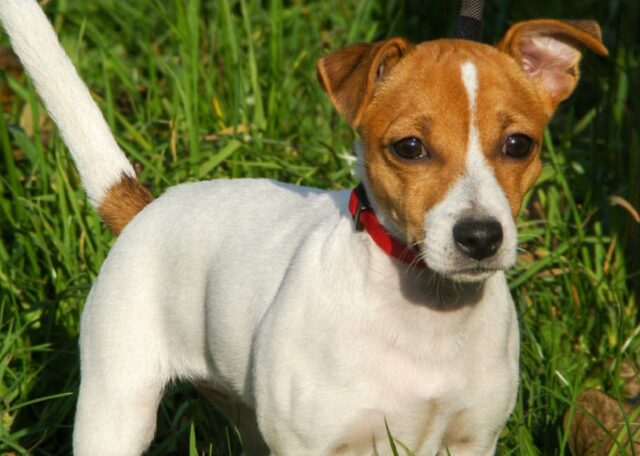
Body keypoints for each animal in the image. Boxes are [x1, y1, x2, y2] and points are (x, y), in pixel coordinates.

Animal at [0, 1, 608, 454]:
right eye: (410, 147)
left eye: (519, 144)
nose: (480, 237)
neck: (426, 316)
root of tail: (146, 207)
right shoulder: (314, 445)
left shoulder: (471, 440)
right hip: (117, 404)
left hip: (243, 414)